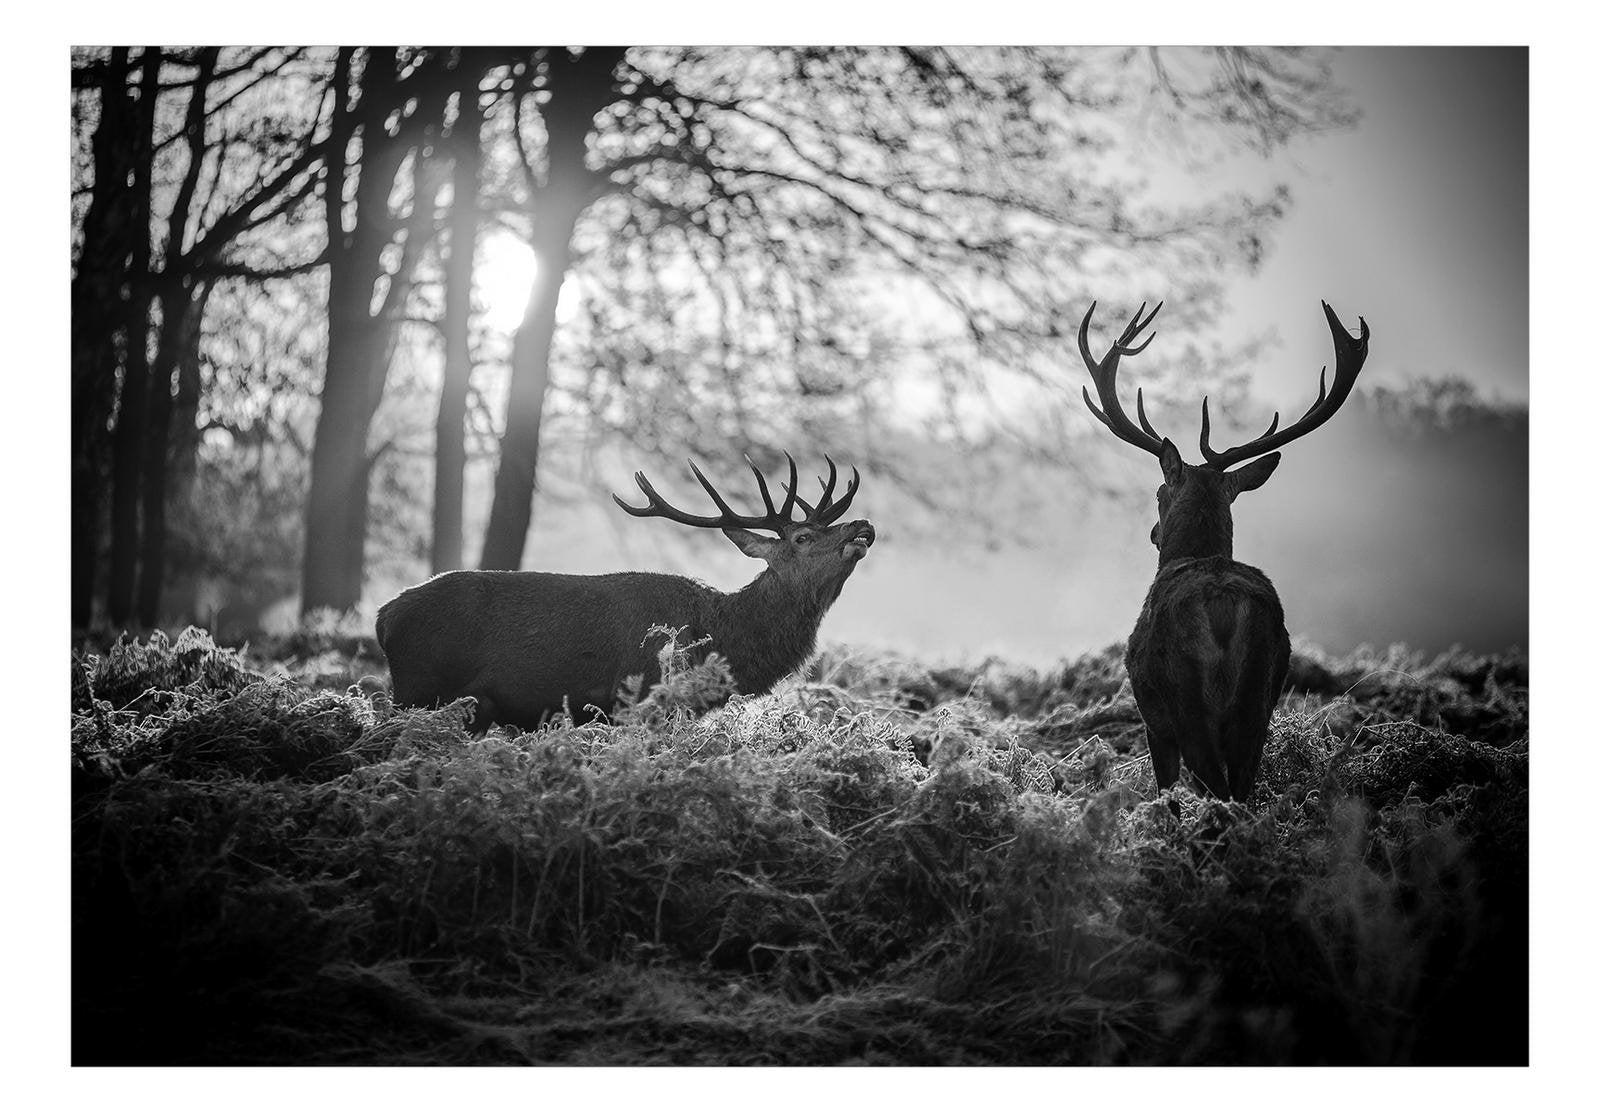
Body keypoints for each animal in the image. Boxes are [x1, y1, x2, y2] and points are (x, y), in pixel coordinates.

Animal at [374, 451, 876, 729]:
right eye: (803, 537)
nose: (863, 525)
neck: (721, 638)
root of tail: (383, 618)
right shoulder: (639, 698)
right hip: (418, 690)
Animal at [1068, 300, 1369, 803]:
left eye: (1158, 493)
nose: (1154, 532)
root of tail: (1224, 606)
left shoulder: (1154, 723)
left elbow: (1166, 795)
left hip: (1187, 699)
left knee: (1215, 785)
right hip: (1259, 696)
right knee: (1242, 786)